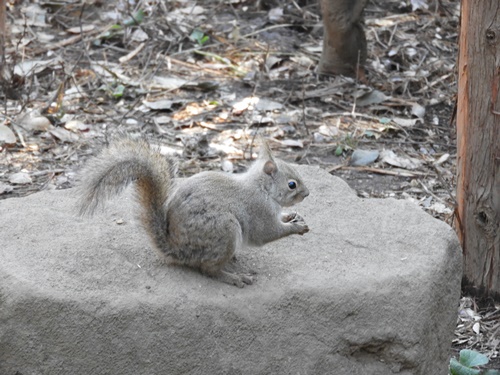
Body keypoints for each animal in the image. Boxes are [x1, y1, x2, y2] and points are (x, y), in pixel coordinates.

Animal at [77, 138, 308, 288]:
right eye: (292, 184)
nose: (307, 193)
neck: (262, 188)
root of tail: (178, 249)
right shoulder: (259, 210)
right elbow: (268, 233)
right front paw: (296, 227)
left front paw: (291, 216)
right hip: (225, 229)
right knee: (208, 269)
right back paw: (234, 278)